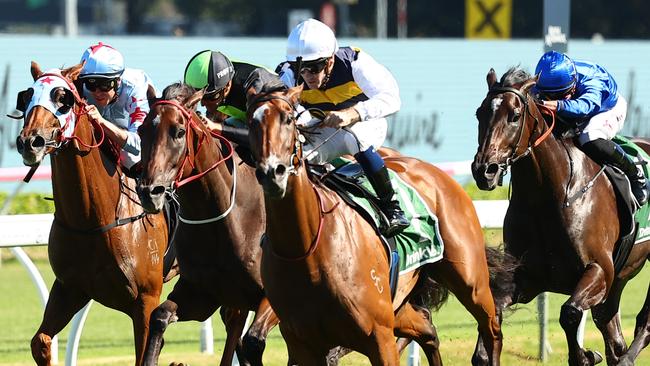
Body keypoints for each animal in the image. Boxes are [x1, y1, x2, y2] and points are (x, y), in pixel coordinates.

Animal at [19, 61, 168, 364]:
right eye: (28, 97)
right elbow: (40, 342)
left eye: (62, 98)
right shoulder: (70, 287)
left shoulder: (146, 299)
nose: (31, 142)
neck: (93, 219)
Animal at [135, 84, 278, 364]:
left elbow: (254, 340)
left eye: (179, 132)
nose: (149, 192)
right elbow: (159, 317)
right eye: (141, 131)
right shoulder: (202, 294)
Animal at [246, 86, 504, 366]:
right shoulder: (303, 345)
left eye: (288, 119)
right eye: (251, 122)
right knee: (427, 329)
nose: (273, 173)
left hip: (471, 282)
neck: (306, 249)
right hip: (400, 306)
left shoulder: (379, 337)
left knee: (492, 329)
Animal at [470, 67, 648, 364]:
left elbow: (570, 313)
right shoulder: (528, 278)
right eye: (479, 113)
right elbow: (493, 312)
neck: (549, 197)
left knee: (642, 324)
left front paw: (586, 355)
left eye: (514, 115)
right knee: (611, 331)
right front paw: (483, 352)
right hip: (620, 276)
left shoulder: (599, 269)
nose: (485, 170)